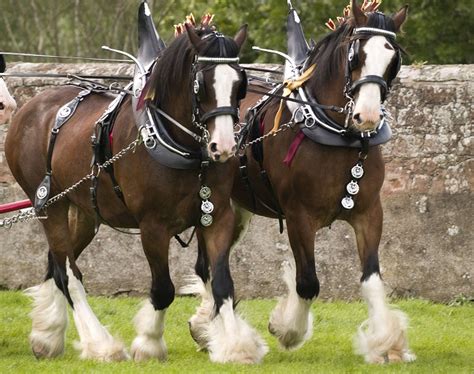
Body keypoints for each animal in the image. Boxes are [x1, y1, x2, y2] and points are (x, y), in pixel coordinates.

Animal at [191, 0, 416, 366]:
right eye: (355, 55)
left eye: (392, 60)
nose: (367, 116)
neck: (338, 136)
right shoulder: (299, 216)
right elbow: (307, 281)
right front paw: (288, 329)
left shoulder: (369, 212)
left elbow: (371, 279)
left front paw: (387, 342)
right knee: (207, 267)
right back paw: (215, 331)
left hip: (237, 210)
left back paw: (204, 326)